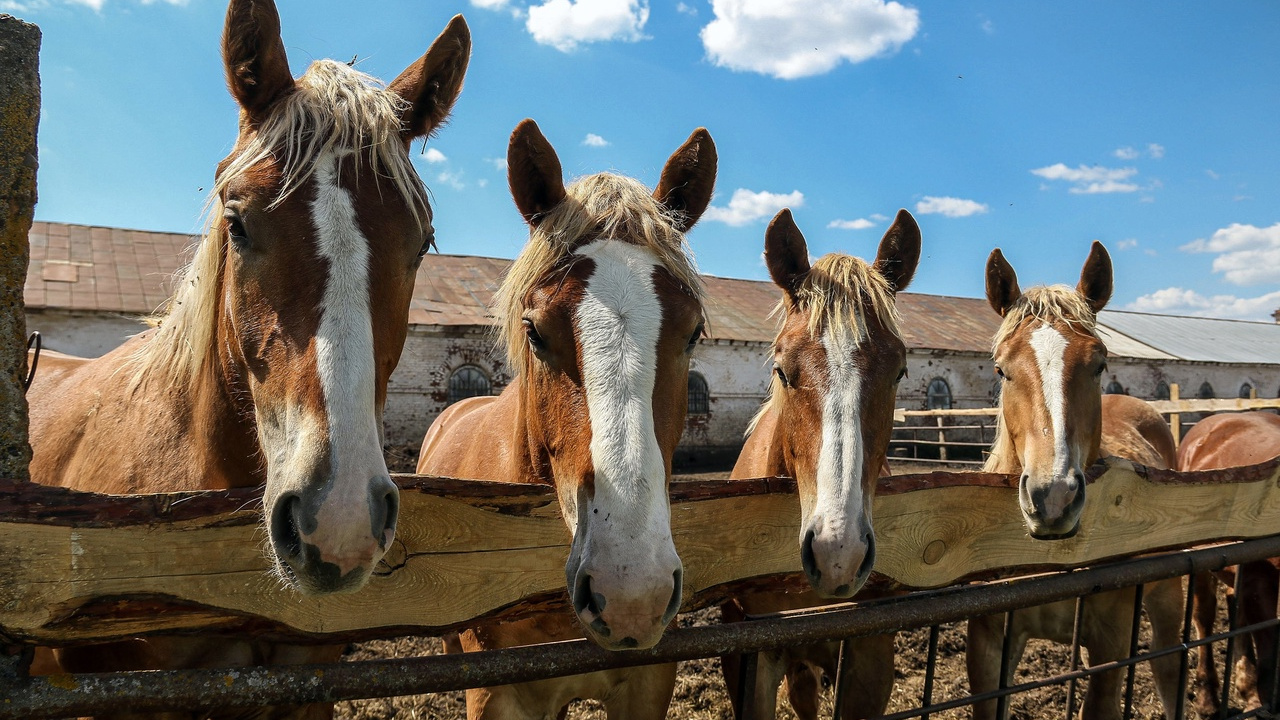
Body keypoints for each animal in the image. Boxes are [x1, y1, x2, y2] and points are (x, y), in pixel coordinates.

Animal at [967, 242, 1187, 717]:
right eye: (1000, 369)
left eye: (1099, 363)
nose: (1053, 497)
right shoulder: (989, 642)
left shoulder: (1110, 643)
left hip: (1167, 594)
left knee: (1167, 667)